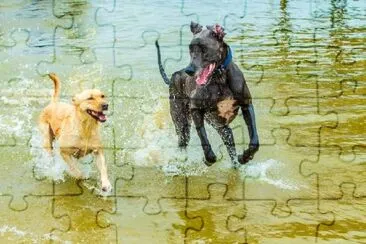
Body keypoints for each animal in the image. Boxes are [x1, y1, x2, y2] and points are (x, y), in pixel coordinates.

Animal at [156, 21, 258, 166]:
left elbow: (255, 140)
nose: (189, 70)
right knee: (182, 142)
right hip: (182, 122)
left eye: (204, 49)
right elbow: (203, 136)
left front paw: (245, 157)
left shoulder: (246, 105)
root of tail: (172, 77)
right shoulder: (196, 109)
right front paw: (209, 158)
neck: (220, 78)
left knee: (230, 145)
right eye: (190, 49)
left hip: (223, 128)